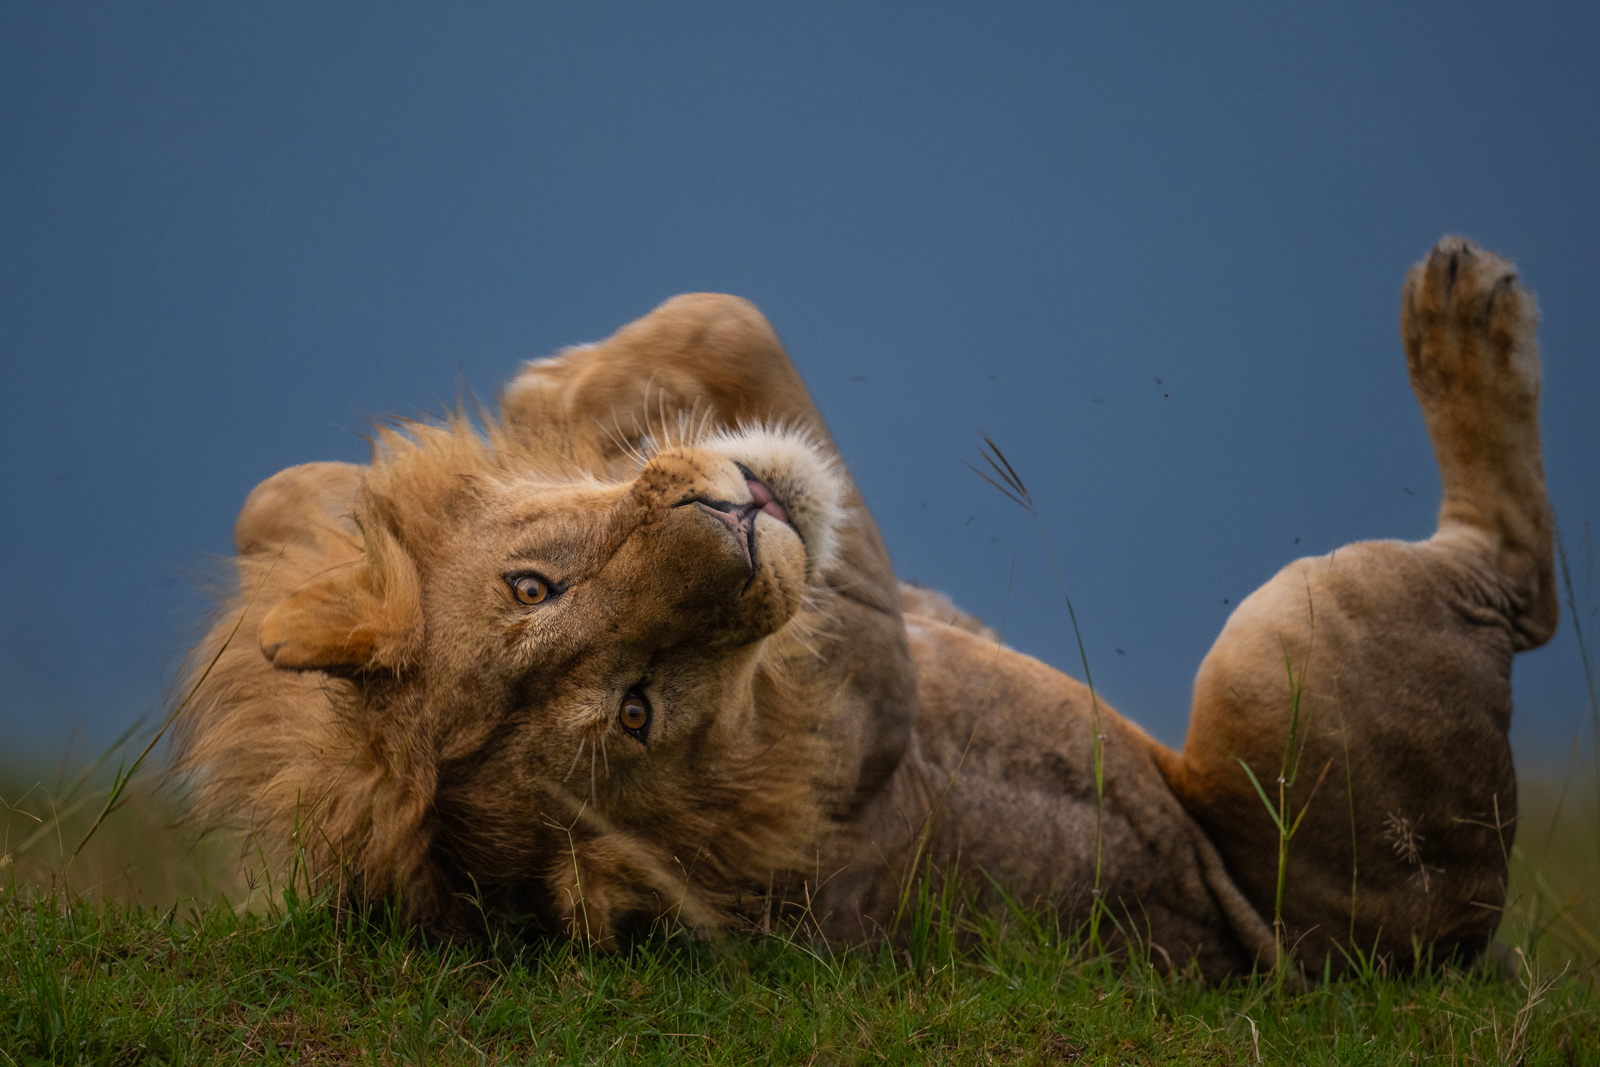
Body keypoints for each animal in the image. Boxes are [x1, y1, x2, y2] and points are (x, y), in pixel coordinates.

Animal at [174, 237, 1553, 979]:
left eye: (535, 587)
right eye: (637, 709)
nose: (731, 523)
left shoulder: (275, 518)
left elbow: (284, 494)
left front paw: (561, 398)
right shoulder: (863, 669)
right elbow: (738, 330)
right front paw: (583, 388)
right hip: (1304, 638)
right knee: (1517, 589)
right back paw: (1462, 318)